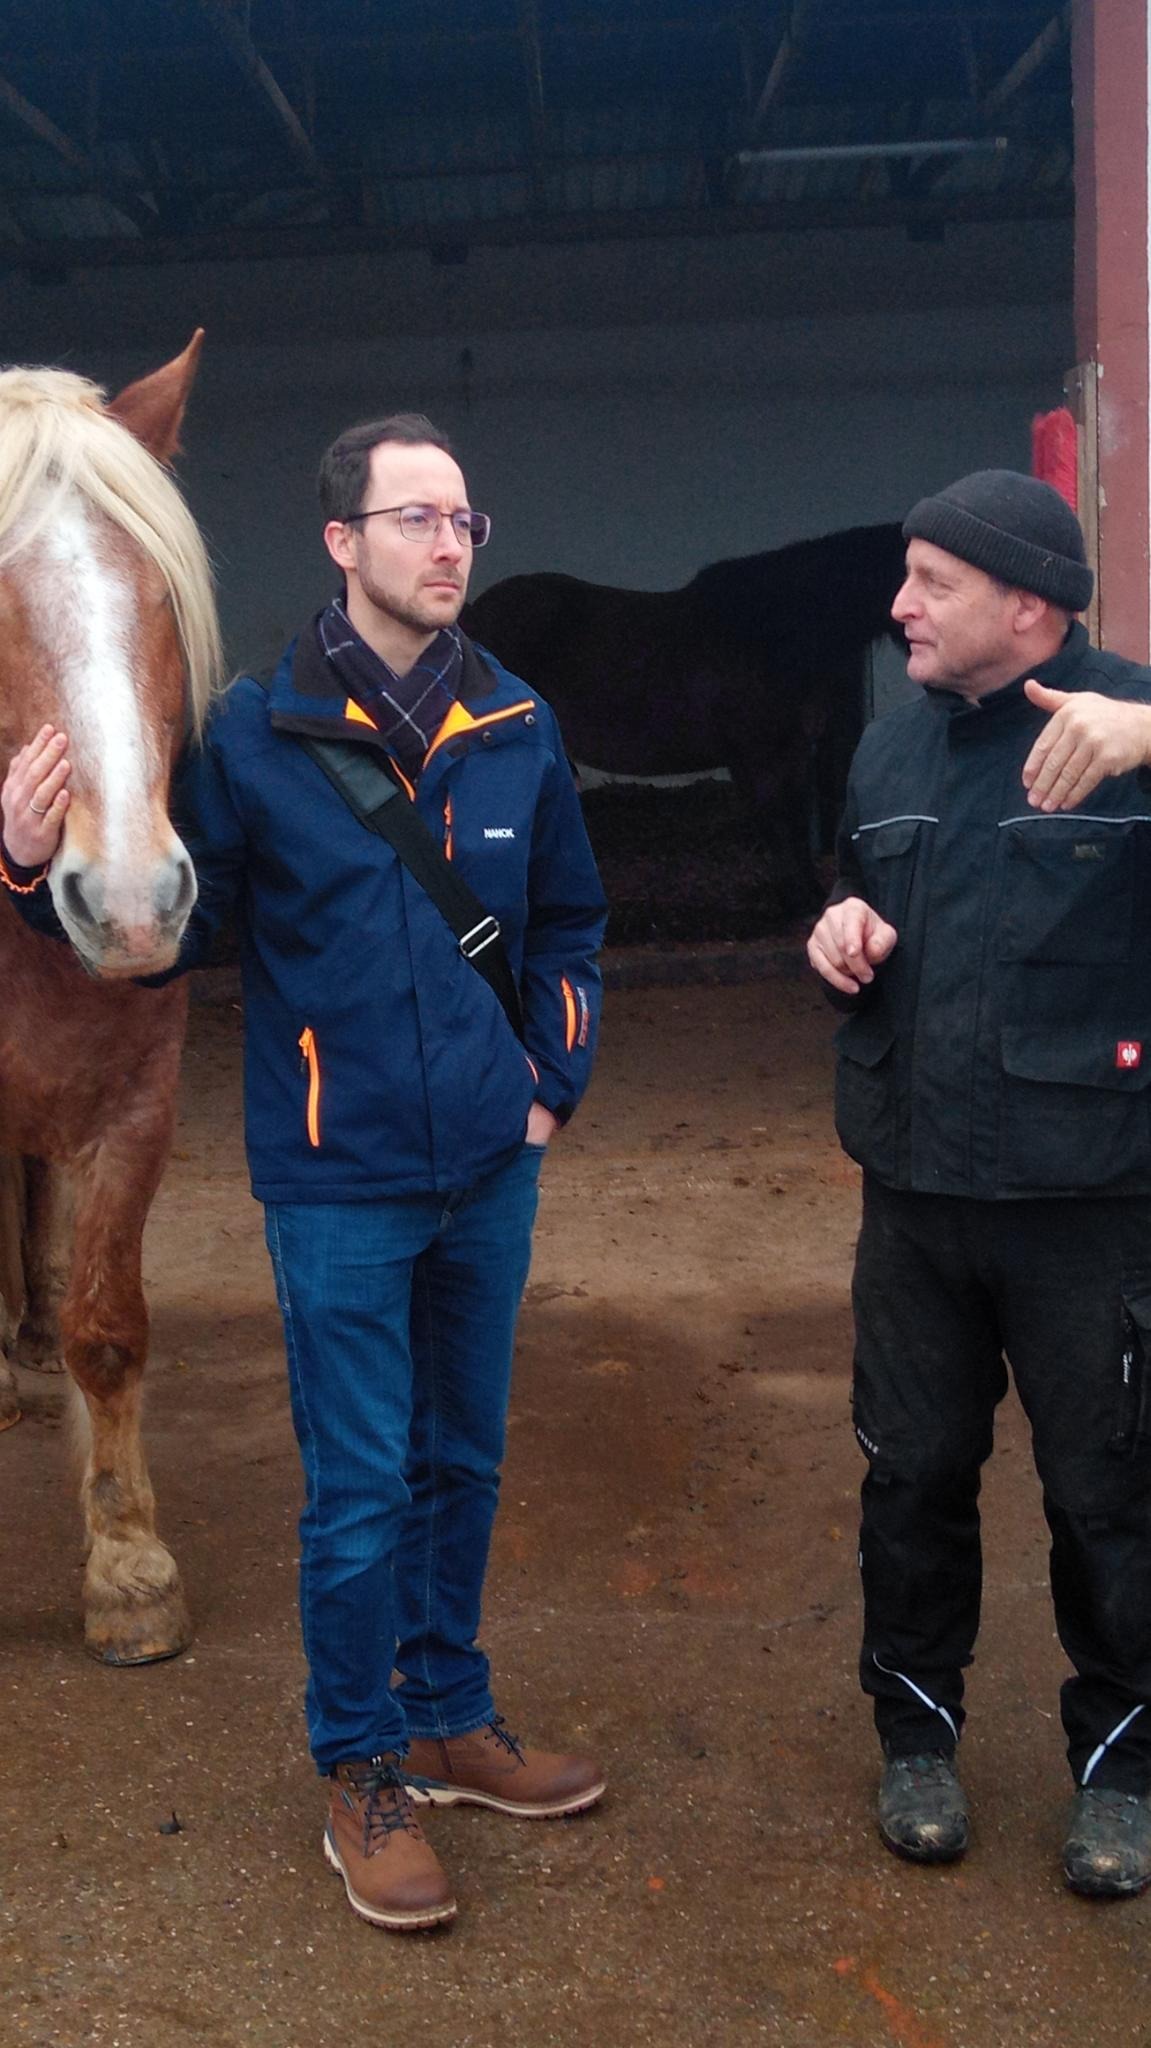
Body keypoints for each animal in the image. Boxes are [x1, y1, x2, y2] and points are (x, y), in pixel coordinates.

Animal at [462, 520, 905, 913]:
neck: (773, 634)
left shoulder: (790, 751)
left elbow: (792, 819)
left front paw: (807, 894)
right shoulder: (760, 754)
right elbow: (776, 818)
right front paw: (796, 900)